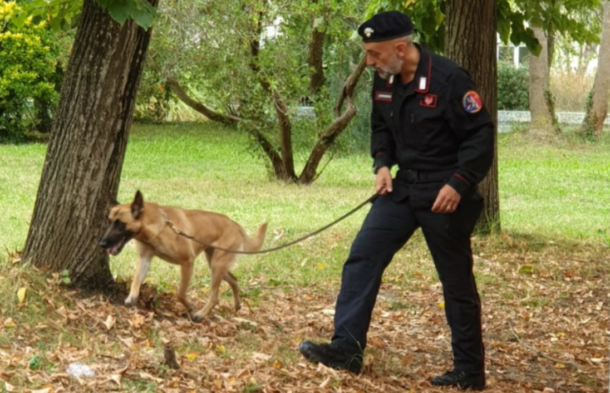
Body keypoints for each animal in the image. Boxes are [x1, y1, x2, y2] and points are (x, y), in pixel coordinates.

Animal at [98, 190, 264, 322]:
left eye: (120, 224)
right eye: (110, 222)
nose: (102, 243)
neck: (158, 226)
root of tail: (236, 225)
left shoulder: (187, 263)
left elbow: (180, 293)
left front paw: (189, 306)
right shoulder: (144, 259)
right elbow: (136, 280)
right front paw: (132, 297)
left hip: (217, 266)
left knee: (215, 297)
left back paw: (200, 314)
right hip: (215, 264)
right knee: (234, 280)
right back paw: (237, 305)